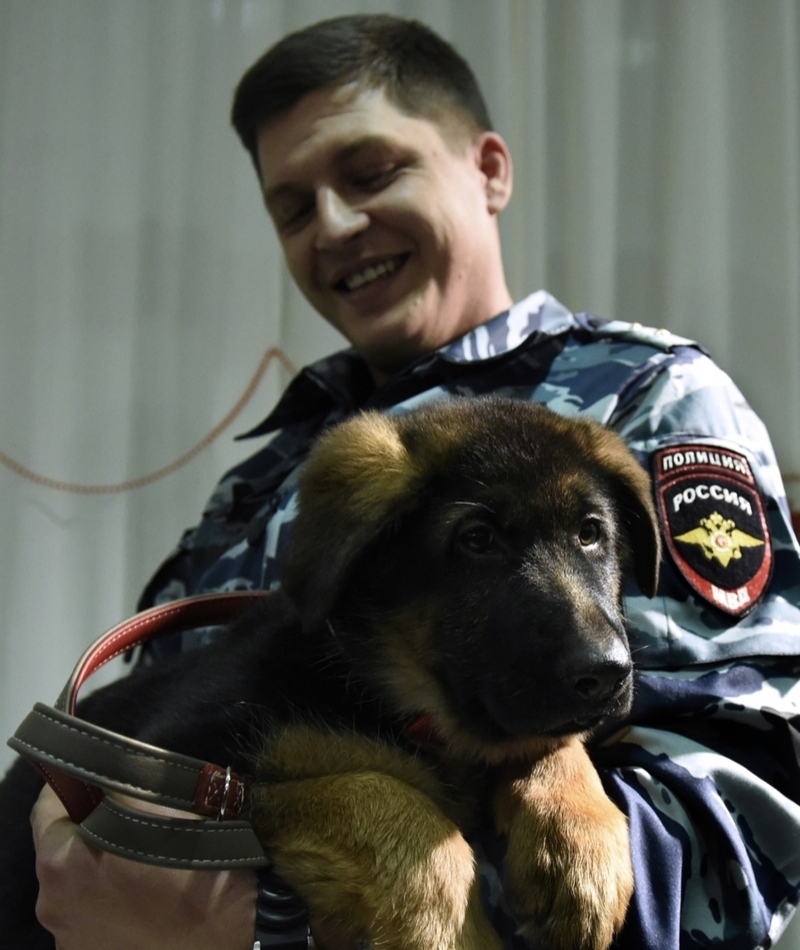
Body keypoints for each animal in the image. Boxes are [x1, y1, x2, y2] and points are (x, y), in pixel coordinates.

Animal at [0, 400, 660, 950]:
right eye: (476, 540)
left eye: (591, 533)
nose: (606, 673)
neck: (391, 697)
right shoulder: (186, 778)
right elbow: (376, 795)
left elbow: (550, 742)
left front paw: (578, 844)